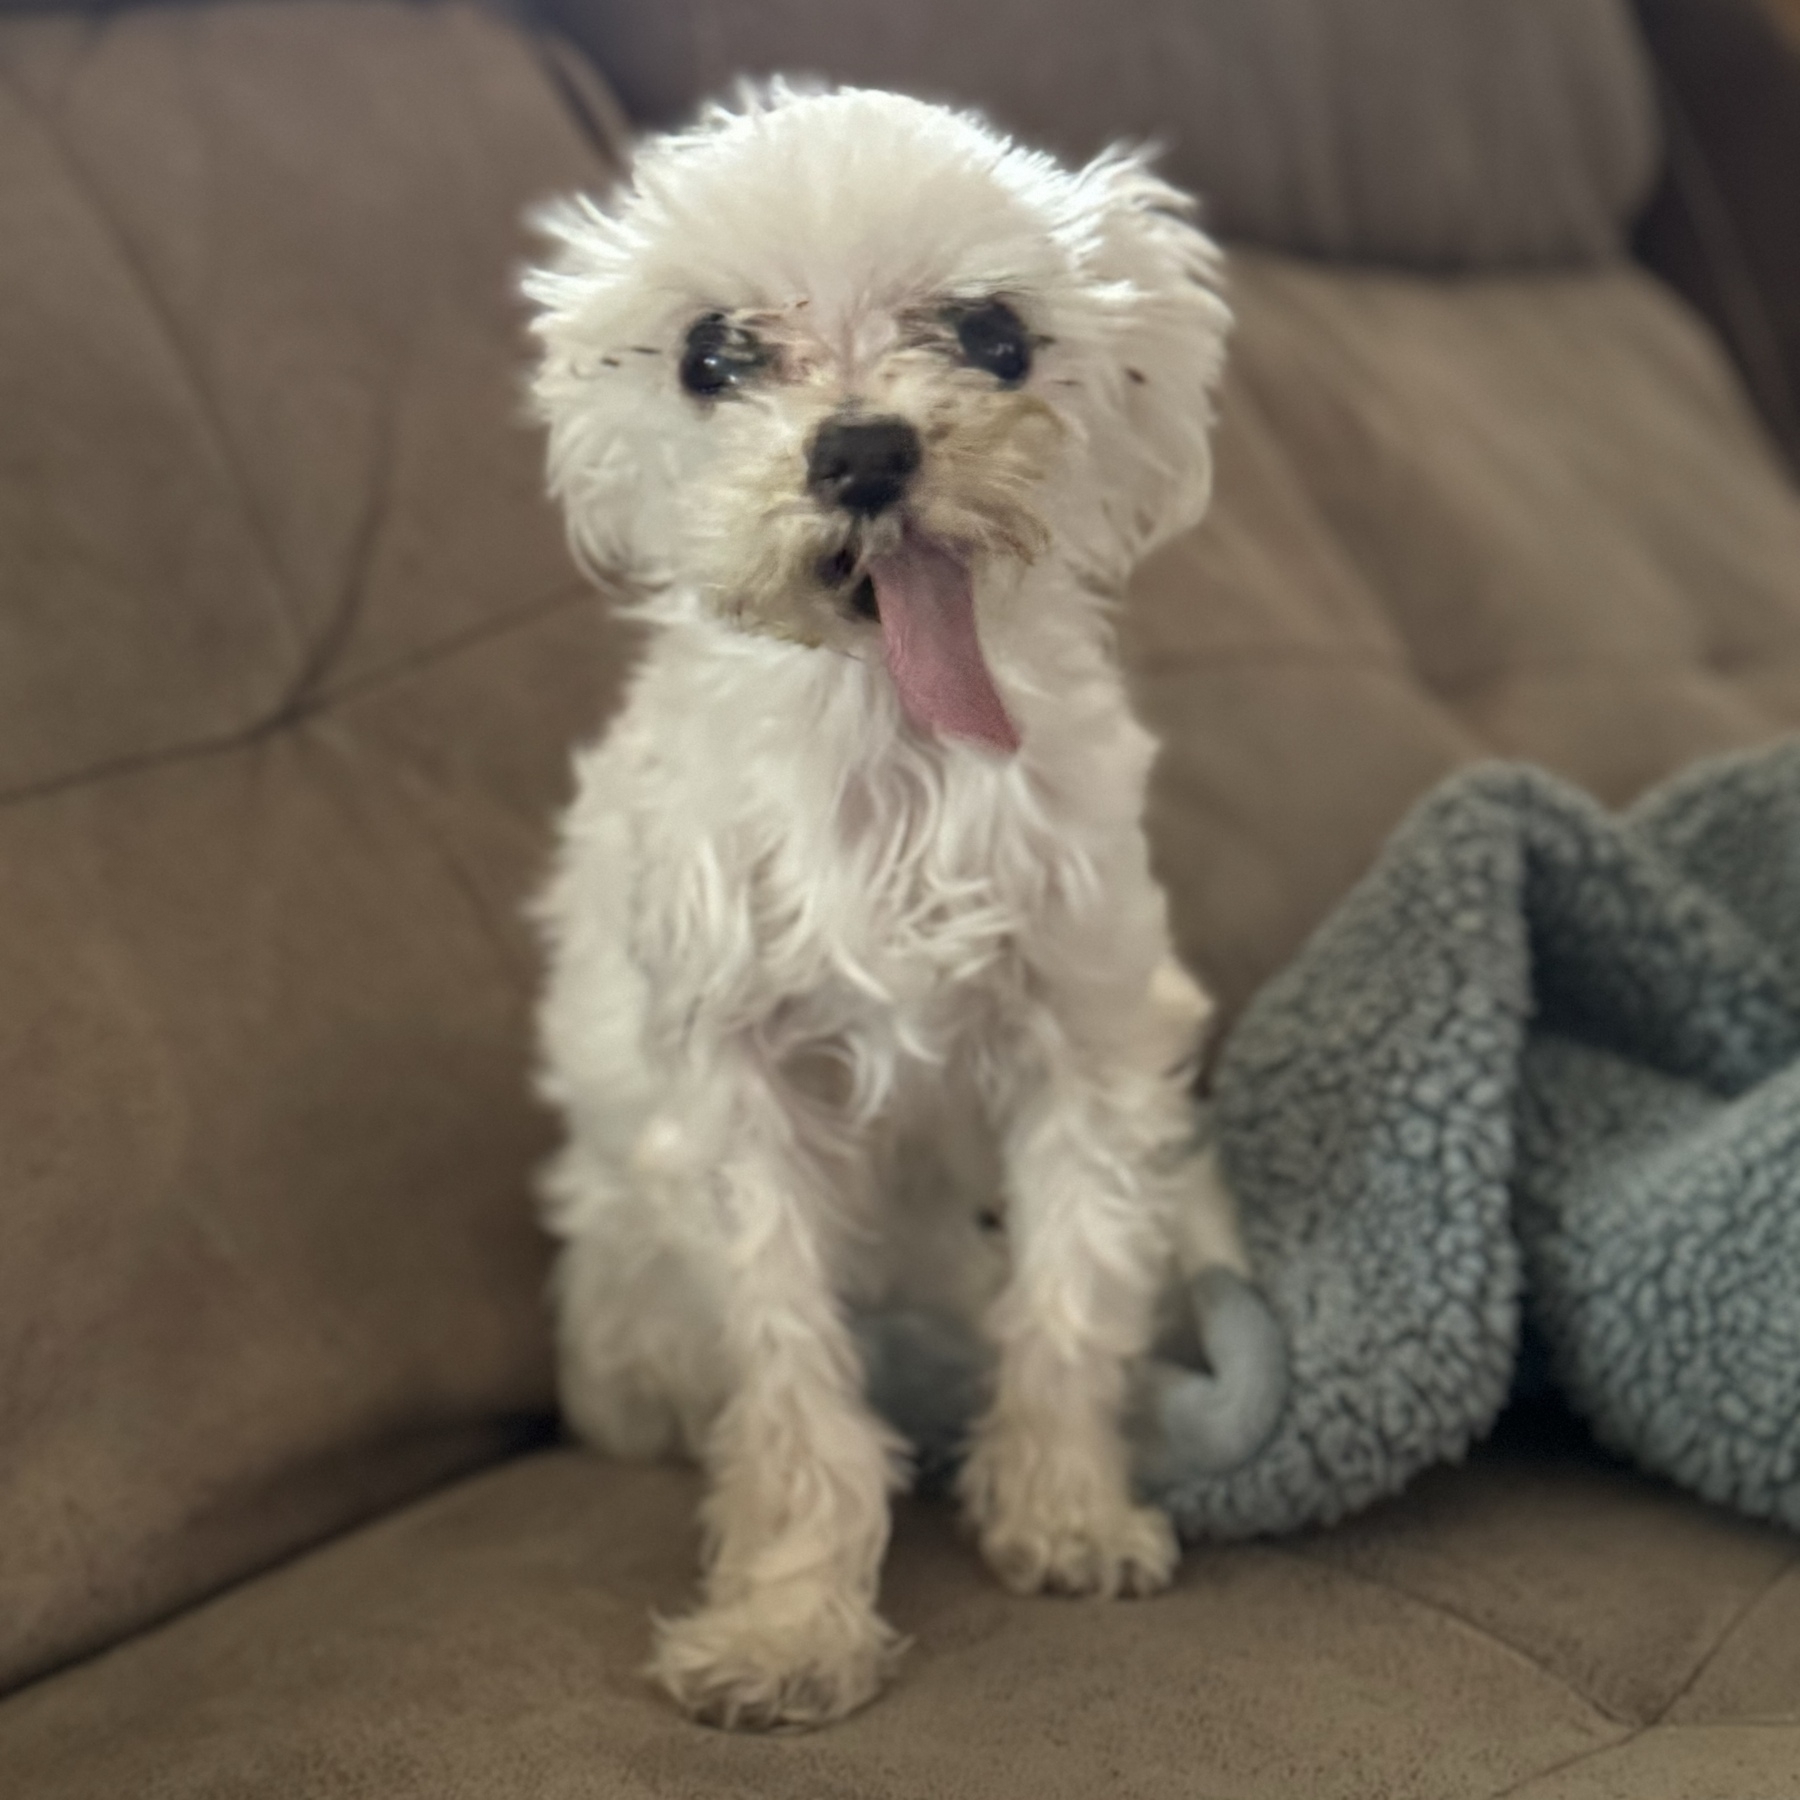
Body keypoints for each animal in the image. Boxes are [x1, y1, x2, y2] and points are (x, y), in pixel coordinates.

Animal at [522, 84, 1252, 1728]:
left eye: (993, 335)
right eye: (709, 353)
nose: (863, 450)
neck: (891, 747)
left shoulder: (1091, 1041)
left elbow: (1070, 1294)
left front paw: (1064, 1509)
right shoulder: (735, 1102)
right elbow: (791, 1385)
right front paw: (789, 1624)